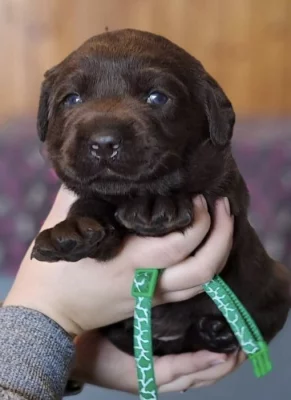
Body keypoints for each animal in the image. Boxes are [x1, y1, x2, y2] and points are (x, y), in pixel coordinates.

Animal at [32, 28, 291, 354]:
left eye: (157, 97)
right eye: (72, 99)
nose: (103, 142)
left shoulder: (224, 191)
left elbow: (191, 185)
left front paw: (155, 204)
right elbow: (90, 201)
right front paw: (73, 229)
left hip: (276, 281)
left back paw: (220, 331)